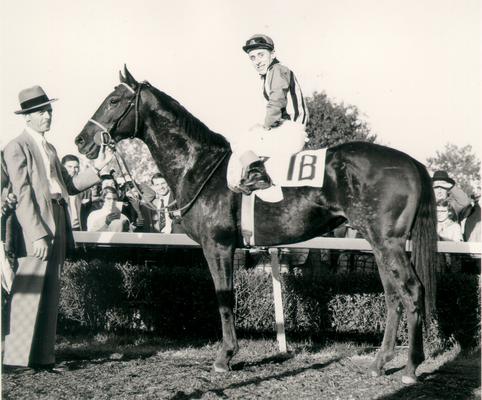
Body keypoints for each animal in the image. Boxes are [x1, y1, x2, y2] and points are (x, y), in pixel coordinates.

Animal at [74, 66, 436, 384]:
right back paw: (380, 362)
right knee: (393, 295)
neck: (201, 167)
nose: (81, 140)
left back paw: (409, 368)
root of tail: (412, 162)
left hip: (388, 242)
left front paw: (225, 357)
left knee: (412, 290)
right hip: (378, 243)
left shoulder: (218, 245)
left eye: (113, 100)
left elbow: (224, 297)